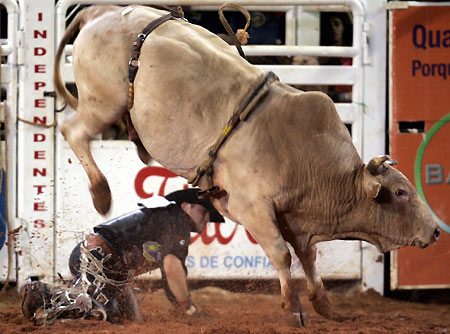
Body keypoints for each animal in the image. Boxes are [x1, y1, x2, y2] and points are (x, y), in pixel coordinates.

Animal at [54, 4, 442, 326]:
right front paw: (293, 309)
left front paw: (324, 305)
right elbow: (281, 255)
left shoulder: (294, 219)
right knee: (73, 130)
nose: (436, 231)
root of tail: (102, 11)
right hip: (103, 102)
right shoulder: (252, 208)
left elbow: (308, 257)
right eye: (400, 191)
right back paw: (102, 194)